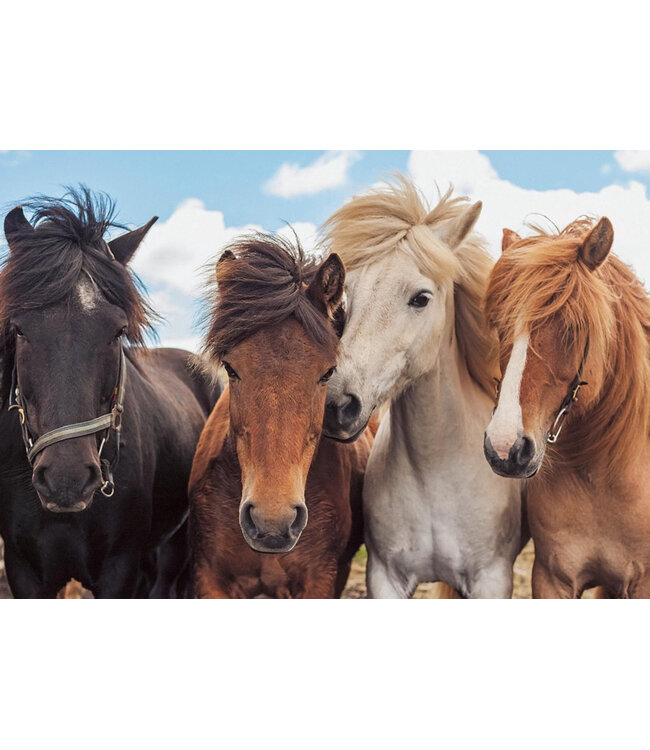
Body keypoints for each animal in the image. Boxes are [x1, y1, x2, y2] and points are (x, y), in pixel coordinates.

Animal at [321, 176, 524, 598]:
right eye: (349, 296)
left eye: (421, 298)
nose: (336, 407)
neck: (435, 474)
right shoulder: (384, 577)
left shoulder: (491, 579)